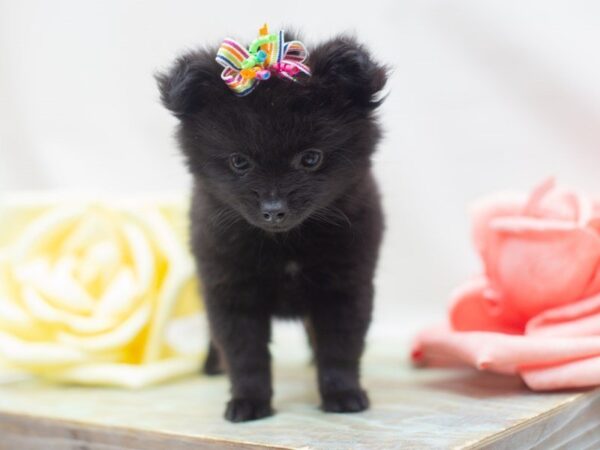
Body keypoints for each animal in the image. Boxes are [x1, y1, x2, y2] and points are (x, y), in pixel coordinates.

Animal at [157, 32, 386, 422]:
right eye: (239, 162)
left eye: (311, 158)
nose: (274, 210)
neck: (286, 245)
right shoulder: (230, 289)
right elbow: (245, 355)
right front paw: (248, 402)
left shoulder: (346, 286)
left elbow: (340, 348)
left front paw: (343, 395)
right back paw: (211, 365)